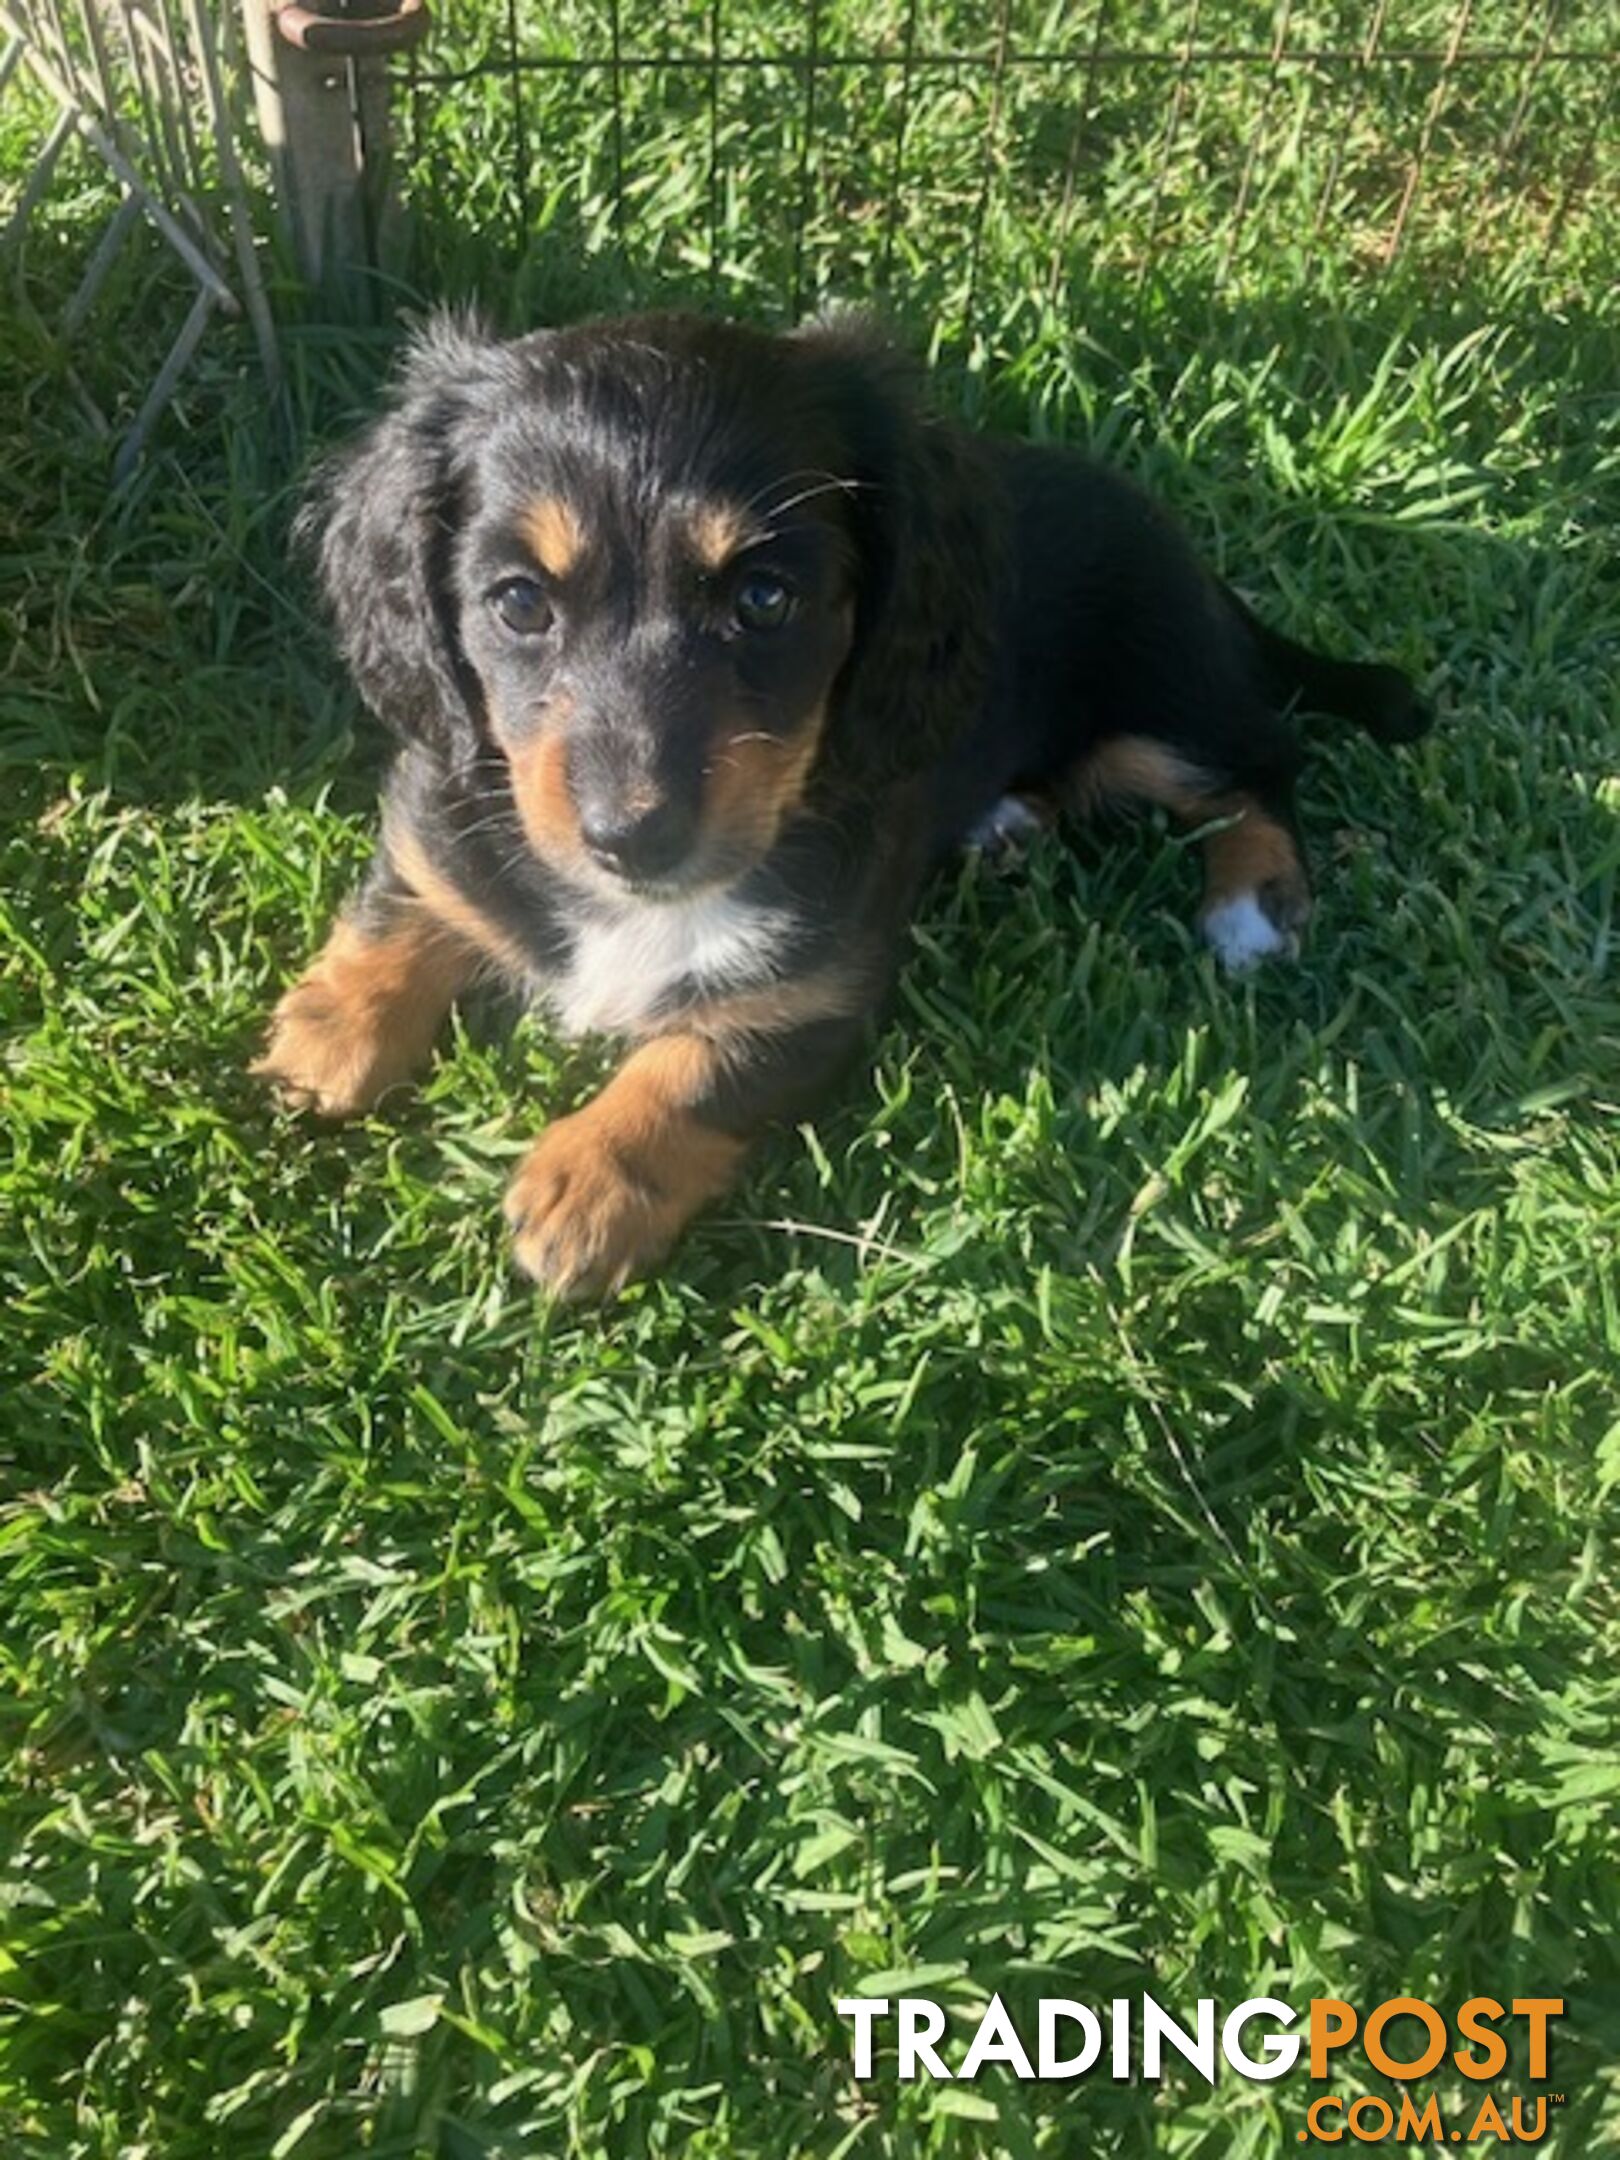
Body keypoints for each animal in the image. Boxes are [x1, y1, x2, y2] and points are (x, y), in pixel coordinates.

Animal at [257, 311, 1434, 1287]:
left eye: (765, 599)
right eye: (516, 603)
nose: (633, 840)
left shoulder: (816, 991)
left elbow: (698, 1063)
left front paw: (591, 1184)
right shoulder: (452, 800)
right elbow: (416, 885)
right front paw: (329, 1029)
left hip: (1158, 707)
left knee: (1261, 762)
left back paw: (1252, 904)